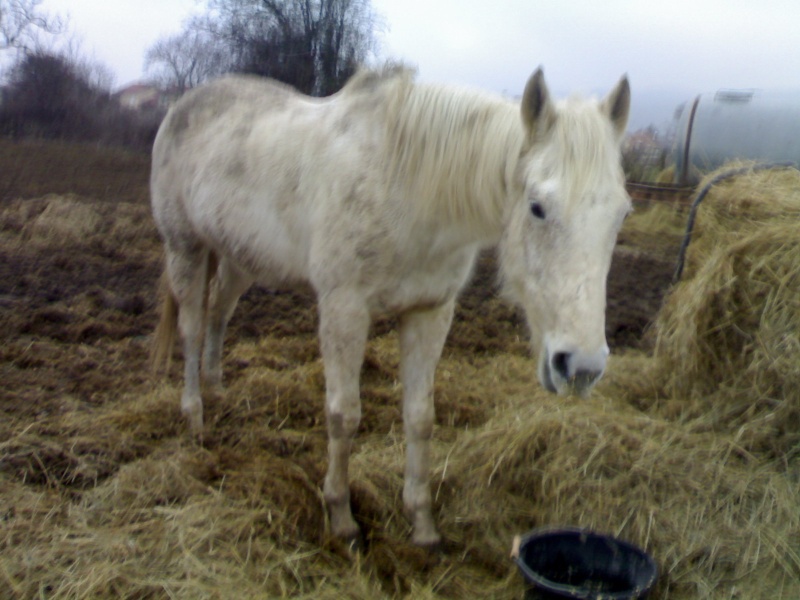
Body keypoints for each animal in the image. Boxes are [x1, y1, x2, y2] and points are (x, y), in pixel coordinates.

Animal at [152, 64, 632, 544]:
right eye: (536, 207)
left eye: (622, 213)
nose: (581, 367)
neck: (410, 191)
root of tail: (179, 106)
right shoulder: (344, 310)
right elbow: (344, 415)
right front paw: (342, 518)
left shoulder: (430, 313)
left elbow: (420, 418)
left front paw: (422, 524)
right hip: (185, 249)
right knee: (192, 329)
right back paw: (195, 417)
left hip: (238, 258)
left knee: (219, 313)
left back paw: (218, 389)